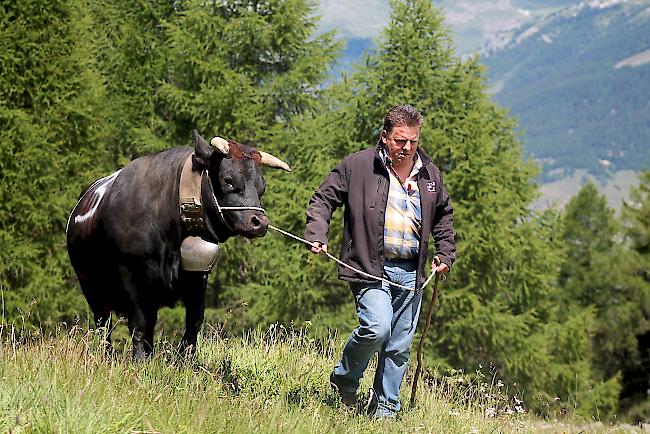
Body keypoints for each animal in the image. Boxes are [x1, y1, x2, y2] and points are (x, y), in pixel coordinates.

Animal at [66, 132, 288, 360]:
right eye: (228, 180)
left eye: (262, 186)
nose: (259, 222)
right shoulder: (129, 276)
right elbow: (138, 324)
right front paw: (139, 361)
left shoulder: (198, 275)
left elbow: (194, 321)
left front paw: (186, 360)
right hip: (91, 288)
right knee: (104, 326)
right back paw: (108, 355)